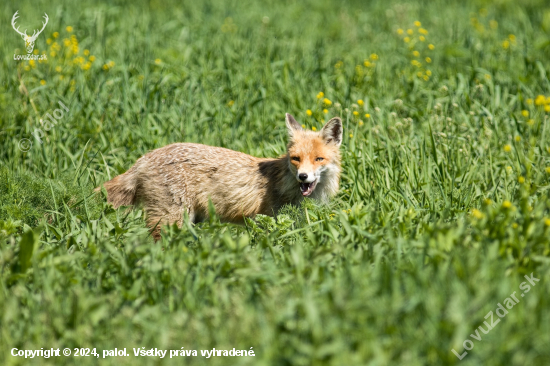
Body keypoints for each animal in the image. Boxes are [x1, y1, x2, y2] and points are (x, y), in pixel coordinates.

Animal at [97, 114, 342, 240]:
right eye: (296, 159)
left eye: (318, 159)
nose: (303, 177)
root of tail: (145, 157)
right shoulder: (267, 219)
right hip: (172, 220)